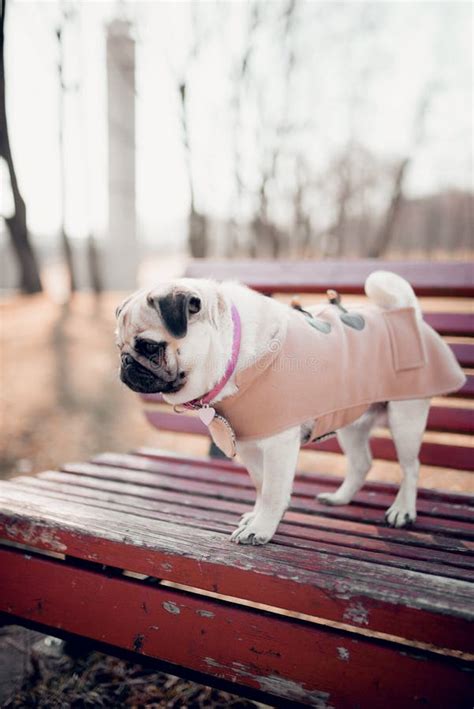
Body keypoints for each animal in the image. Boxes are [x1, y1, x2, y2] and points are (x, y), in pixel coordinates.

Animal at [115, 272, 466, 544]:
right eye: (119, 346)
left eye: (150, 347)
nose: (126, 363)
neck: (232, 354)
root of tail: (406, 313)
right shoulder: (251, 445)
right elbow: (261, 486)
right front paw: (257, 518)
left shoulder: (278, 444)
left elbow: (272, 490)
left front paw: (260, 529)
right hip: (352, 422)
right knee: (361, 463)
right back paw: (339, 498)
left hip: (406, 418)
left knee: (411, 466)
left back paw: (403, 510)